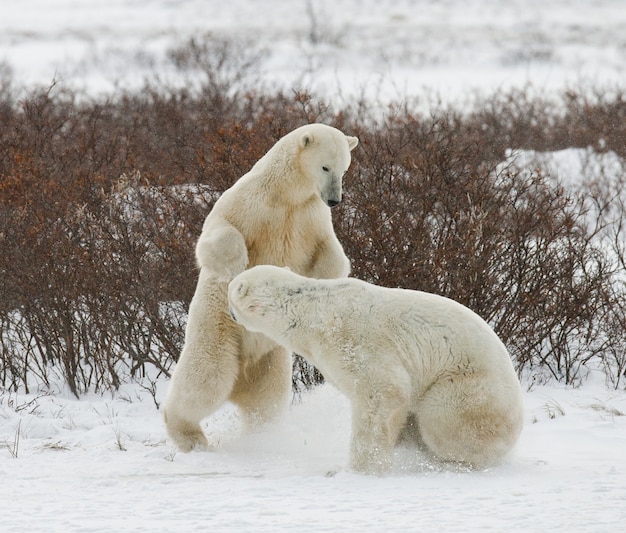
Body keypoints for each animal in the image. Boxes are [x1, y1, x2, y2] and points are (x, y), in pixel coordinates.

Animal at [162, 123, 356, 448]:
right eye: (325, 166)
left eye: (344, 169)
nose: (334, 200)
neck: (287, 193)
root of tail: (241, 373)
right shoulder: (253, 201)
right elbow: (219, 227)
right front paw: (236, 265)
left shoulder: (310, 215)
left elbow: (328, 252)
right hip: (217, 333)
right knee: (205, 381)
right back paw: (190, 436)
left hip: (271, 354)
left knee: (267, 397)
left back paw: (263, 435)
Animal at [227, 266, 524, 474]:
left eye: (230, 294)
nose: (228, 312)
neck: (310, 313)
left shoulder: (350, 337)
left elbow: (382, 391)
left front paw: (357, 469)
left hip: (467, 387)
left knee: (443, 422)